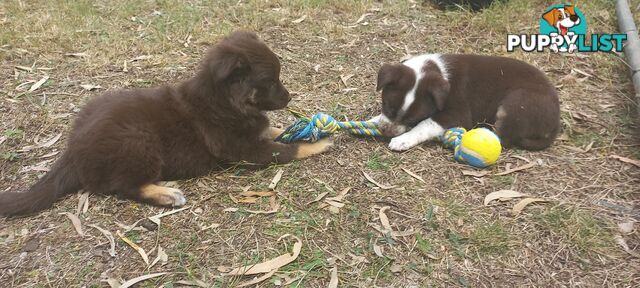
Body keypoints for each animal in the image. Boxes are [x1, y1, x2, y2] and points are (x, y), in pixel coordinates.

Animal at [0, 31, 330, 216]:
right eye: (270, 81)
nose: (289, 98)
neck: (223, 100)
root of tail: (71, 148)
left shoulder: (254, 132)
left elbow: (276, 132)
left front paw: (302, 130)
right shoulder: (244, 150)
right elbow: (285, 150)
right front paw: (321, 142)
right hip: (138, 141)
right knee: (123, 186)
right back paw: (166, 194)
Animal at [370, 53, 560, 151]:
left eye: (412, 119)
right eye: (386, 106)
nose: (386, 131)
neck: (436, 70)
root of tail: (556, 122)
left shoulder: (457, 114)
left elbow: (426, 124)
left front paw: (403, 140)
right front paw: (373, 119)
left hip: (514, 104)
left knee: (504, 137)